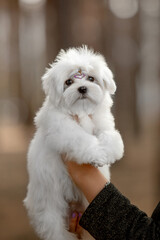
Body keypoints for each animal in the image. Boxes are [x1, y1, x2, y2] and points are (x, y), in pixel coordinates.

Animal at [24, 45, 124, 240]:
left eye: (91, 78)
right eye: (69, 82)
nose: (82, 88)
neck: (81, 111)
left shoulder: (102, 122)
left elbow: (110, 135)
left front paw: (109, 151)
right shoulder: (61, 128)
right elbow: (80, 137)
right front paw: (96, 153)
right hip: (49, 207)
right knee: (54, 229)